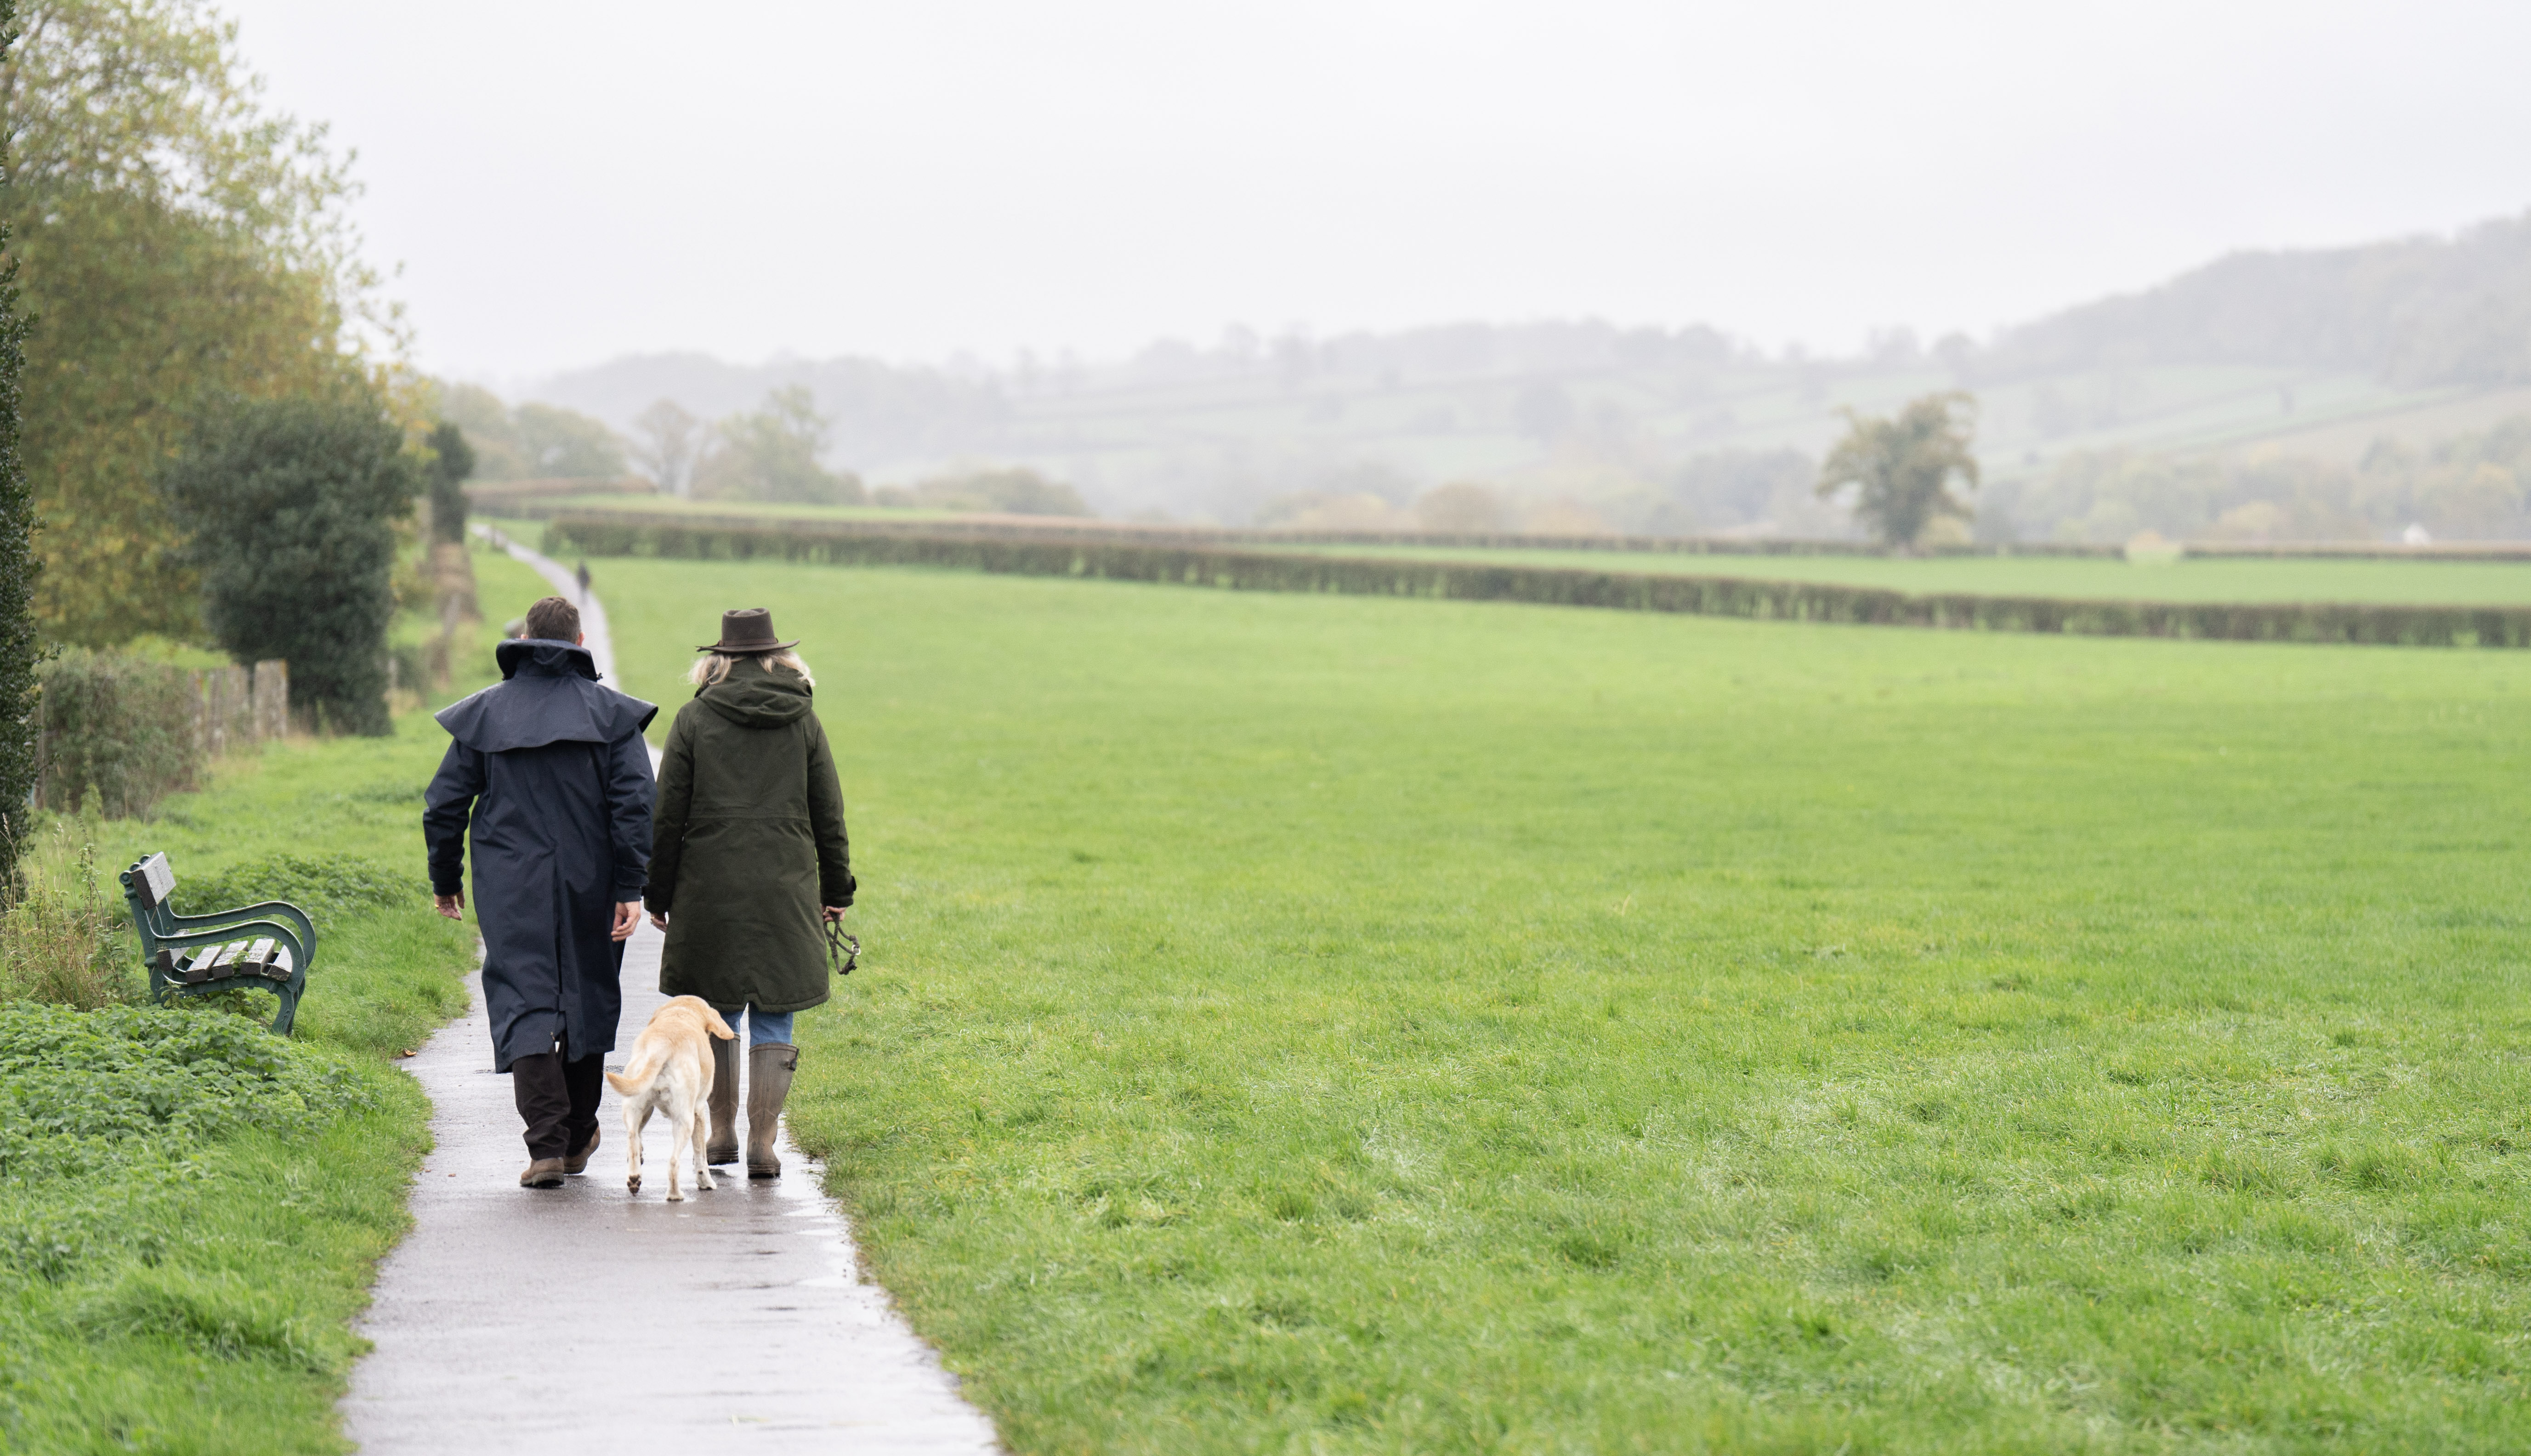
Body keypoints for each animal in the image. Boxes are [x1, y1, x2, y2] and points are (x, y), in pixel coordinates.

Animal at [607, 997, 739, 1200]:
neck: (681, 1013)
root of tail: (661, 1047)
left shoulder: (648, 1109)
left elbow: (639, 1137)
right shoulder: (699, 1112)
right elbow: (701, 1157)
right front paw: (706, 1182)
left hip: (635, 1106)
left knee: (632, 1137)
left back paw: (635, 1177)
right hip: (684, 1121)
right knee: (673, 1162)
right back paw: (675, 1195)